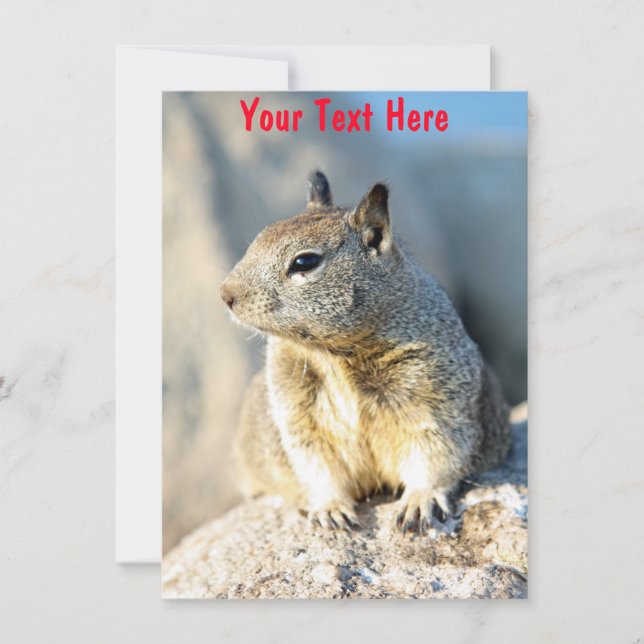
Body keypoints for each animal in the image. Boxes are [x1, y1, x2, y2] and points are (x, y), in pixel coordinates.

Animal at [220, 171, 511, 534]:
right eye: (257, 239)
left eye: (305, 262)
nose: (225, 294)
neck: (333, 355)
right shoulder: (296, 412)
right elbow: (317, 464)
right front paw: (330, 508)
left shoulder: (438, 396)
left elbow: (436, 454)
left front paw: (420, 500)